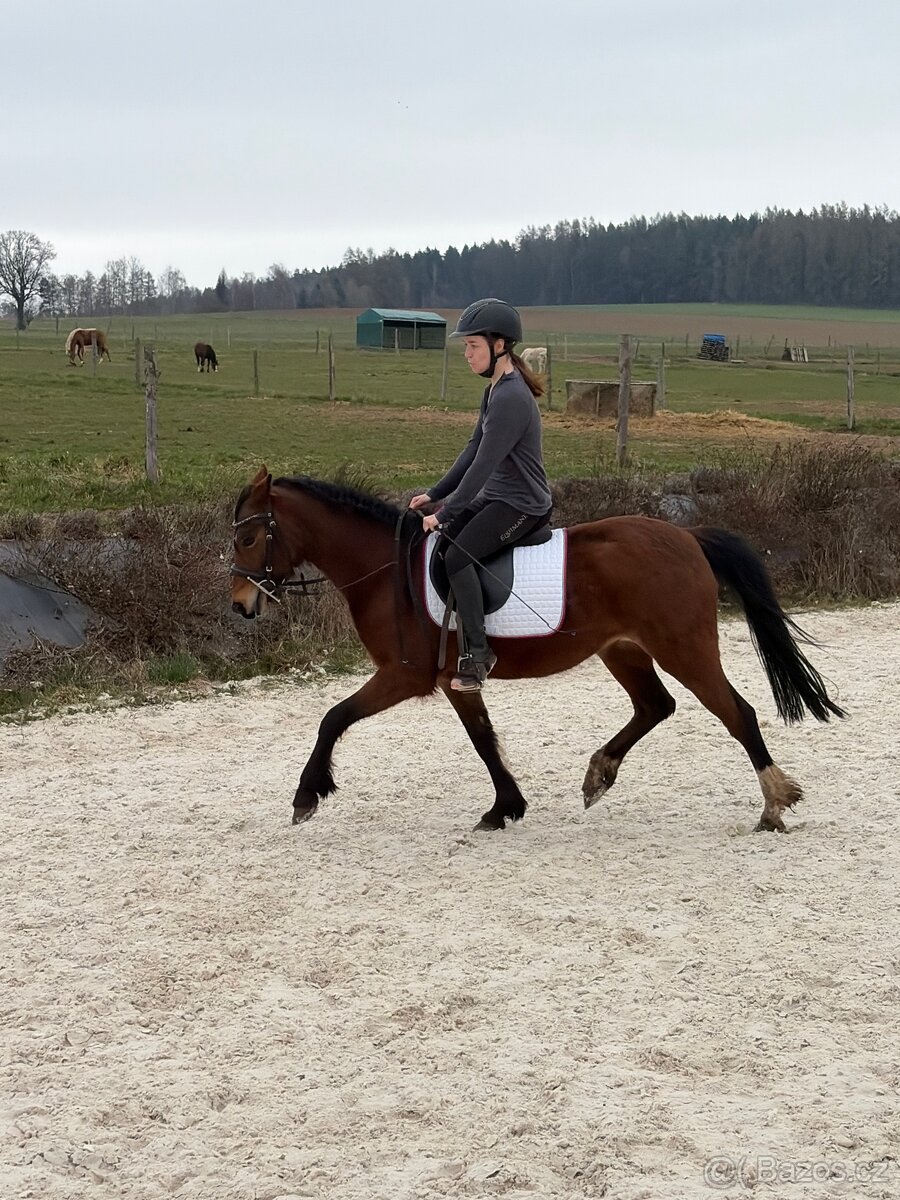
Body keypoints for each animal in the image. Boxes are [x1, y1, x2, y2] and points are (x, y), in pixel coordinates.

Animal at [230, 467, 845, 834]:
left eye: (248, 537)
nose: (240, 604)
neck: (387, 571)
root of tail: (688, 537)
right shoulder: (455, 680)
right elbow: (483, 740)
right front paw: (506, 807)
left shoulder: (403, 675)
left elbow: (333, 717)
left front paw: (307, 794)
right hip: (623, 650)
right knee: (655, 705)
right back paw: (599, 775)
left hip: (684, 649)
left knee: (736, 712)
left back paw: (774, 802)